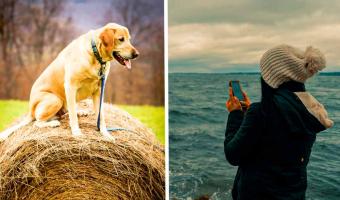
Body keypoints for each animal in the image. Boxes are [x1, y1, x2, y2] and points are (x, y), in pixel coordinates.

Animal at [0, 22, 138, 141]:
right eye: (121, 39)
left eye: (129, 39)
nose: (137, 54)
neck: (95, 55)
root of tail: (30, 110)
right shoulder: (71, 86)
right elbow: (73, 116)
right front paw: (76, 132)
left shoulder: (99, 90)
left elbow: (101, 116)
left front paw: (105, 134)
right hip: (54, 99)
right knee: (38, 121)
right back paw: (53, 123)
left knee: (64, 113)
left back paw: (79, 112)